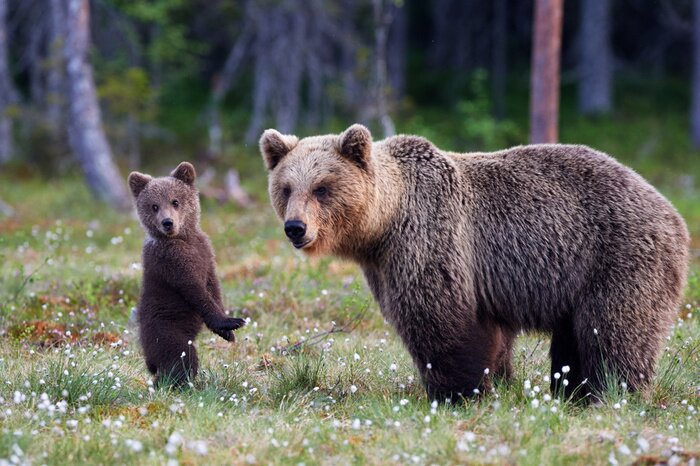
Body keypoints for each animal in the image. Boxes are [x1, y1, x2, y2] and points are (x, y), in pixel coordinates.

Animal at [128, 162, 246, 387]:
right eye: (154, 206)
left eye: (175, 201)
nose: (167, 222)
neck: (182, 239)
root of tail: (148, 358)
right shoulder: (172, 262)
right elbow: (195, 290)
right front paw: (232, 322)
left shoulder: (205, 253)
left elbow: (213, 286)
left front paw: (227, 333)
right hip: (166, 330)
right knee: (181, 358)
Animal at [260, 124, 689, 402]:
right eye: (286, 188)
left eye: (322, 188)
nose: (295, 228)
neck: (383, 225)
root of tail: (672, 212)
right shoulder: (386, 263)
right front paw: (497, 381)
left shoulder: (430, 240)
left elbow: (440, 320)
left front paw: (457, 392)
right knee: (575, 339)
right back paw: (573, 392)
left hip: (617, 257)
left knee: (613, 331)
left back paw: (612, 393)